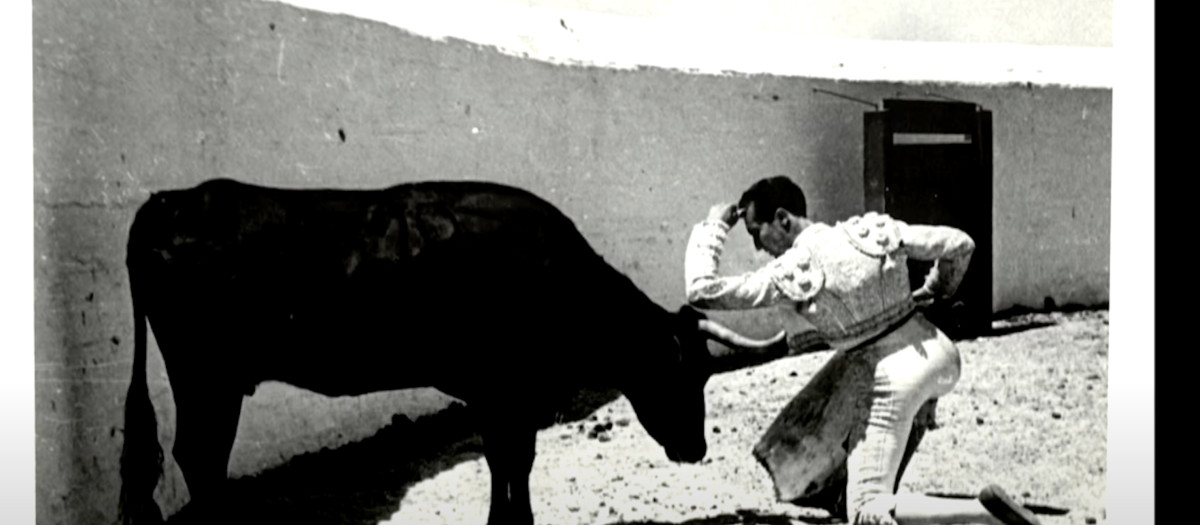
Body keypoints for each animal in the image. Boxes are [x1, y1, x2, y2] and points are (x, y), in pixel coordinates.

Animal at [121, 179, 787, 525]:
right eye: (680, 375)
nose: (695, 449)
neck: (556, 277)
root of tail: (170, 200)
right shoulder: (507, 391)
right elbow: (511, 460)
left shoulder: (503, 397)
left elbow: (507, 463)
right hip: (205, 375)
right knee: (199, 458)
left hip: (209, 378)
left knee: (200, 460)